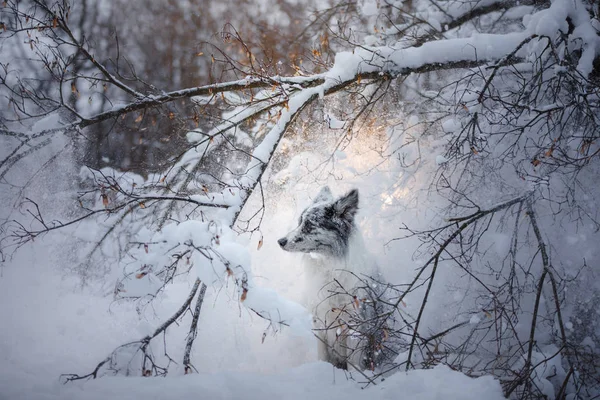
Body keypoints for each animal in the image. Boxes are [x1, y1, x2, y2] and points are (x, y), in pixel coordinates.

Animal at [278, 186, 394, 370]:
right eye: (299, 222)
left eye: (309, 225)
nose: (280, 241)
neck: (329, 269)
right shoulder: (320, 321)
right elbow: (323, 357)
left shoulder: (355, 325)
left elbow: (354, 364)